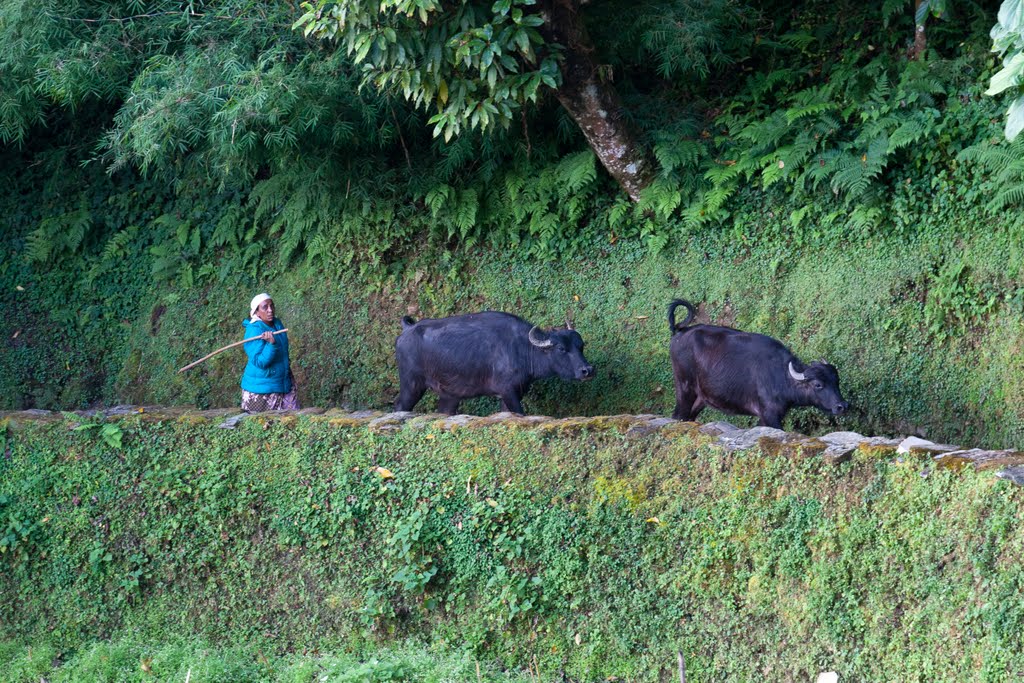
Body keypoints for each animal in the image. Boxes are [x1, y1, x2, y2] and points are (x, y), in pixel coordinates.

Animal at [393, 311, 598, 417]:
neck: (521, 349)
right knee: (400, 405)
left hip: (449, 395)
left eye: (581, 346)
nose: (587, 370)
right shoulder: (508, 391)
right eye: (562, 349)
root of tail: (407, 329)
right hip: (412, 384)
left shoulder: (512, 393)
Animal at [667, 299, 843, 428]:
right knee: (679, 416)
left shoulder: (764, 418)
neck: (780, 375)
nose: (842, 406)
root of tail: (681, 331)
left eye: (837, 381)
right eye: (818, 384)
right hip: (684, 388)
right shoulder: (770, 415)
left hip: (701, 397)